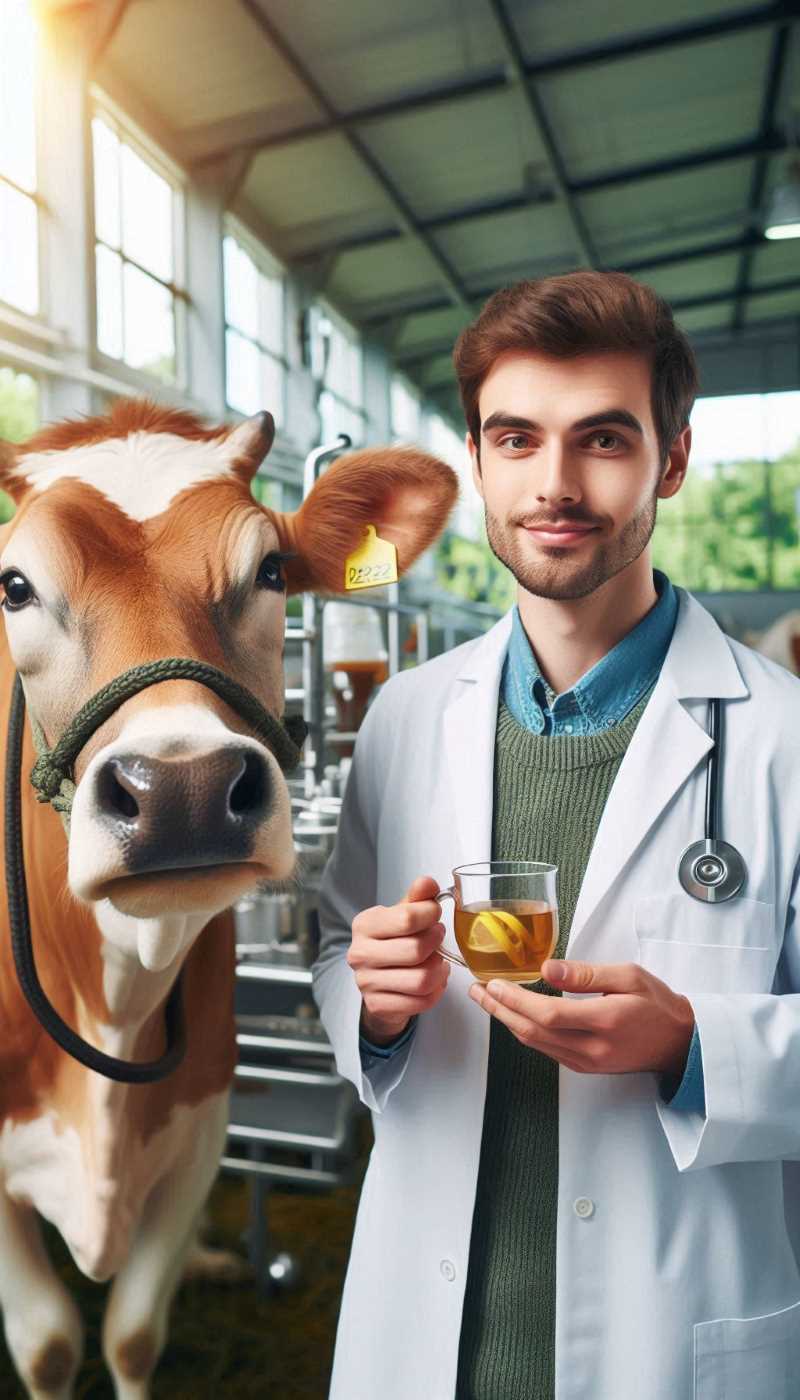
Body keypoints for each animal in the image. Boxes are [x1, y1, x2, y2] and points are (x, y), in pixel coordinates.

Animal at [0, 400, 456, 1394]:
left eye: (273, 570)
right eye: (13, 586)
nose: (183, 789)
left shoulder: (200, 1126)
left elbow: (133, 1333)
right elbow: (49, 1345)